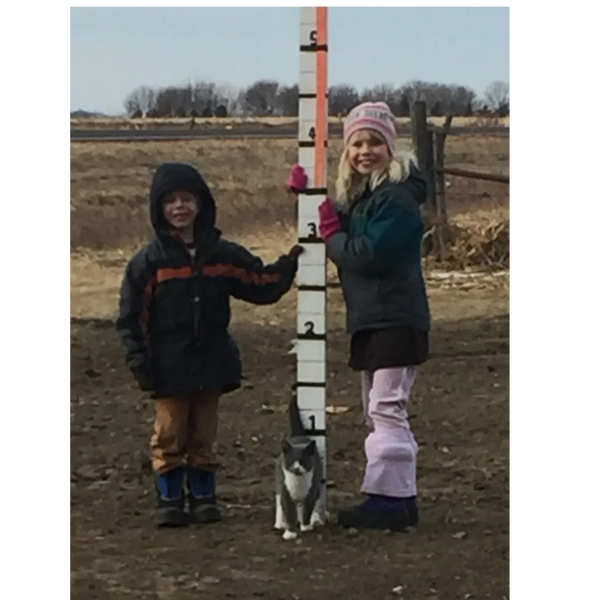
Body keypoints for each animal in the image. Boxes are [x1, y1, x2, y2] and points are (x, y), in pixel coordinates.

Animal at [274, 392, 326, 540]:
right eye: (292, 461)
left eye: (302, 461)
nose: (297, 468)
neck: (298, 483)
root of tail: (298, 436)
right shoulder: (286, 493)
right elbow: (290, 512)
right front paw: (290, 532)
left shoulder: (311, 492)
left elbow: (307, 509)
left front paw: (306, 526)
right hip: (279, 480)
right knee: (278, 502)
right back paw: (279, 523)